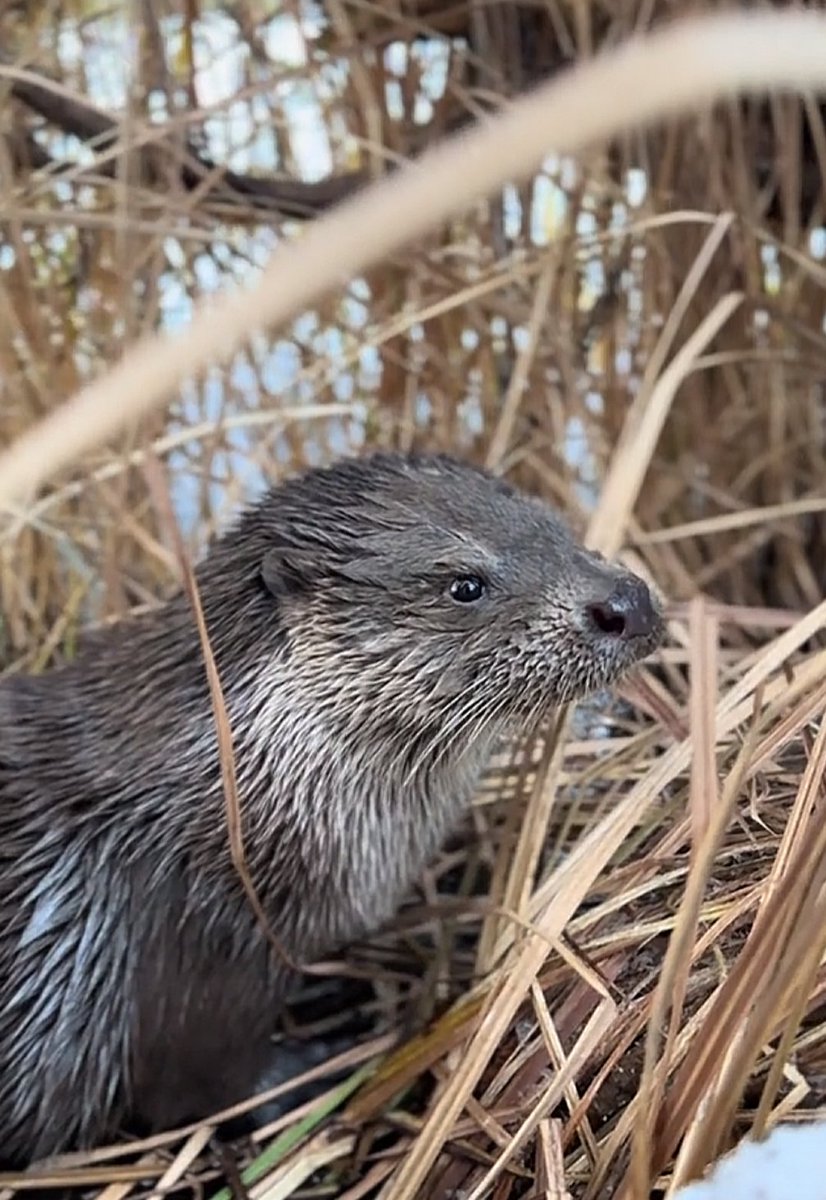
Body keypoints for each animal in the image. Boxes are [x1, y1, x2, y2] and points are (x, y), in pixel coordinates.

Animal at [0, 452, 663, 1167]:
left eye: (553, 524)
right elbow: (196, 1089)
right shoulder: (186, 938)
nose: (627, 603)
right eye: (465, 585)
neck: (233, 807)